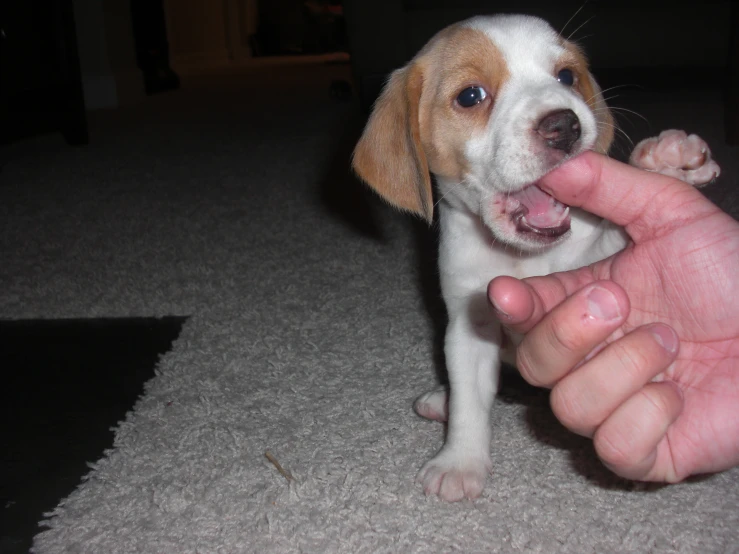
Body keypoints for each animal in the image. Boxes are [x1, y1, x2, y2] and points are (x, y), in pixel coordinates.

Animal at [352, 14, 724, 500]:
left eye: (566, 77)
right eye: (470, 96)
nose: (564, 124)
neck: (521, 256)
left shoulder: (601, 256)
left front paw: (667, 164)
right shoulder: (469, 325)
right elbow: (471, 401)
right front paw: (460, 461)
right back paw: (442, 400)